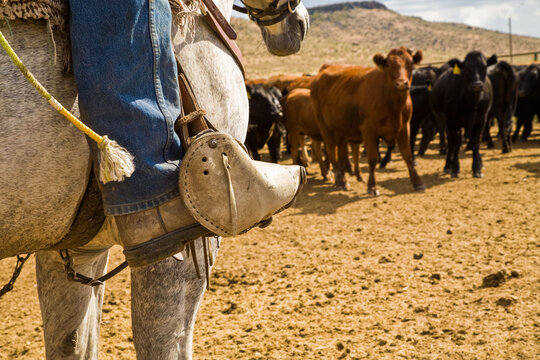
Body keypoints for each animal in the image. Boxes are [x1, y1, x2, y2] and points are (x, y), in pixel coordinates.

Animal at [310, 47, 424, 195]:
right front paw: (372, 187)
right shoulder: (369, 130)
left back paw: (344, 180)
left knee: (341, 153)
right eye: (388, 64)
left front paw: (418, 182)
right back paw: (340, 181)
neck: (393, 104)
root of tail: (324, 70)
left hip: (340, 129)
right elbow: (372, 158)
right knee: (331, 151)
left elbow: (408, 155)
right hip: (325, 126)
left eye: (410, 63)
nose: (401, 83)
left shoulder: (404, 127)